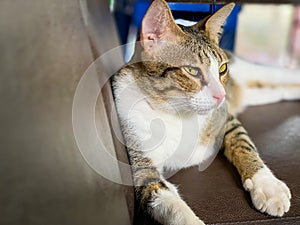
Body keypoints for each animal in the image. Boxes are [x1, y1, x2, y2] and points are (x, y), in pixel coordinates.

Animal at [112, 0, 298, 224]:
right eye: (192, 71)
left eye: (222, 69)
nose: (222, 96)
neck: (176, 113)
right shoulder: (140, 163)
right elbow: (165, 199)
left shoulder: (226, 118)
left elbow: (243, 143)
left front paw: (267, 185)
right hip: (254, 94)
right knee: (275, 91)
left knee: (282, 75)